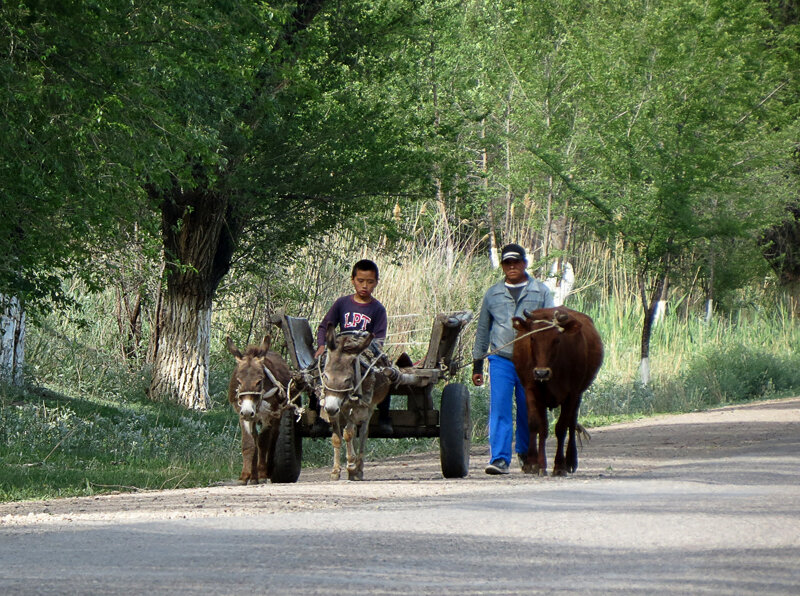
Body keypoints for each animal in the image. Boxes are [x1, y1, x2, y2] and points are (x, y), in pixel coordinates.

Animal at [225, 336, 294, 484]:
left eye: (259, 381)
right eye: (238, 381)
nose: (247, 412)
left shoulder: (268, 416)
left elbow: (263, 443)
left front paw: (262, 474)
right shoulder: (243, 416)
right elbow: (249, 443)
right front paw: (245, 476)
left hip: (278, 414)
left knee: (273, 438)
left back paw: (268, 470)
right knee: (256, 439)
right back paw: (253, 476)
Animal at [510, 308, 604, 474]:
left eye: (557, 340)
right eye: (532, 338)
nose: (541, 373)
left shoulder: (571, 394)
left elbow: (561, 428)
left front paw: (559, 465)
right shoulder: (531, 390)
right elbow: (536, 425)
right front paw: (534, 463)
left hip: (578, 394)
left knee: (571, 424)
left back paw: (570, 461)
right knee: (545, 427)